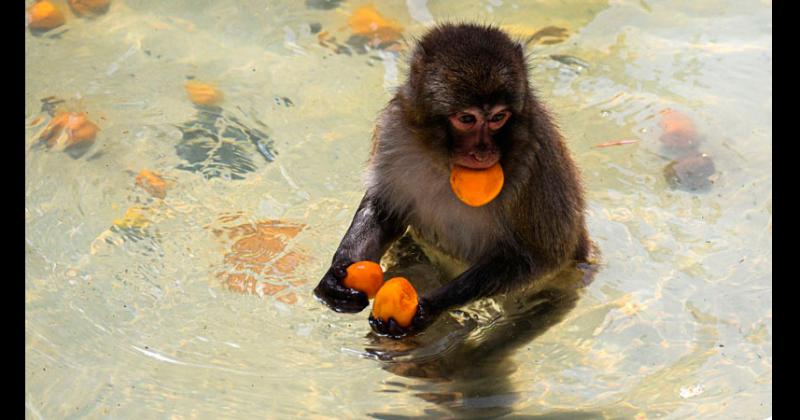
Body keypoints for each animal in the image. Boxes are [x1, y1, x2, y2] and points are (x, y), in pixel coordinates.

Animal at [314, 22, 592, 338]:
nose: (484, 151)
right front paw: (337, 274)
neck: (444, 160)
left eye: (498, 117)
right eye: (467, 119)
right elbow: (385, 210)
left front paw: (430, 306)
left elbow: (536, 257)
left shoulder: (534, 160)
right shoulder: (394, 129)